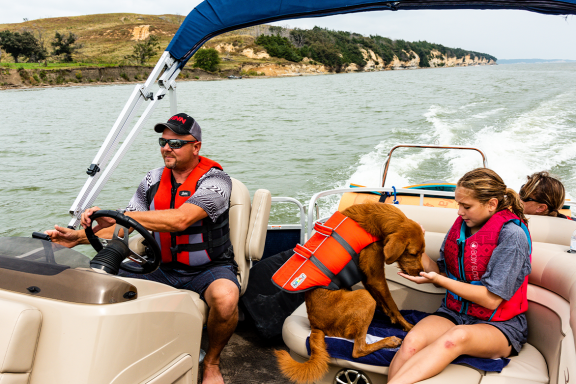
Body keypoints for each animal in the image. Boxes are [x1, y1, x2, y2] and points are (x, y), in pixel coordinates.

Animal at [272, 202, 426, 382]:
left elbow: (386, 304)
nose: (421, 273)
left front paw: (392, 318)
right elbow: (392, 304)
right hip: (364, 297)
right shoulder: (376, 277)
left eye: (423, 253)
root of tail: (315, 325)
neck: (375, 221)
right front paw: (407, 325)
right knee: (358, 350)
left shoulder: (368, 278)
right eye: (413, 253)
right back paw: (390, 341)